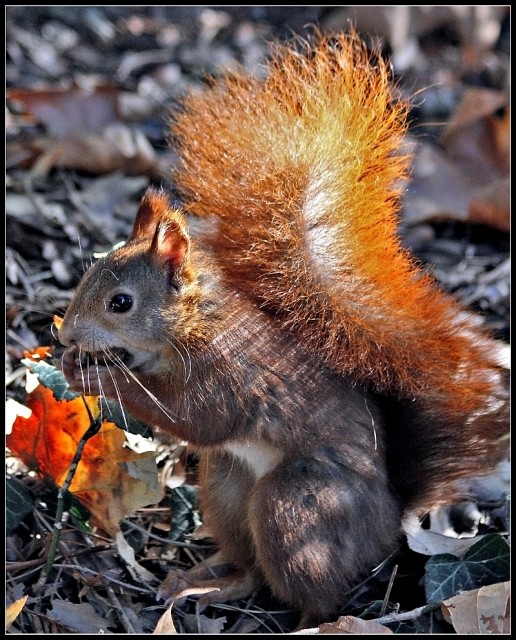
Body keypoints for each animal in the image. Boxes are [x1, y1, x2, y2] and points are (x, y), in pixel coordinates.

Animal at [57, 32, 508, 624]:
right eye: (88, 273)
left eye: (121, 302)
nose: (66, 335)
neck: (195, 327)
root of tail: (390, 519)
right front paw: (75, 362)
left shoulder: (226, 377)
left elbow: (194, 419)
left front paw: (98, 377)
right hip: (226, 483)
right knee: (251, 569)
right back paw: (203, 584)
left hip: (294, 504)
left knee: (317, 592)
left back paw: (307, 622)